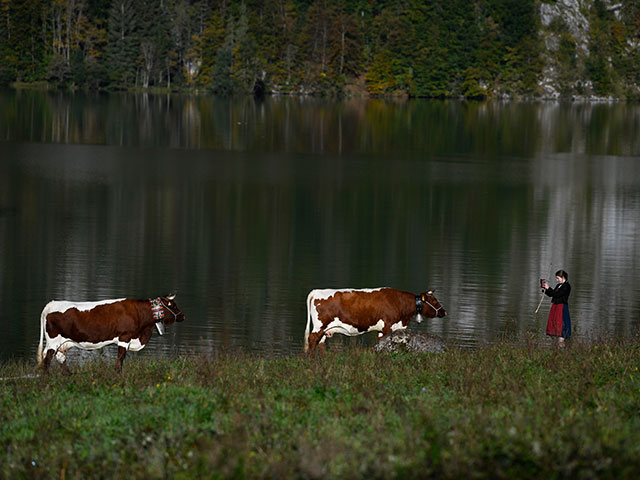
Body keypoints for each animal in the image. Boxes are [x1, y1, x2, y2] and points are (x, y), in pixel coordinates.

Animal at [37, 294, 184, 374]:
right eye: (173, 305)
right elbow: (120, 358)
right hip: (53, 341)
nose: (182, 316)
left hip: (63, 343)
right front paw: (119, 375)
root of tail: (52, 304)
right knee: (47, 358)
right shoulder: (125, 337)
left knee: (60, 358)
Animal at [304, 284, 444, 356]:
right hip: (319, 326)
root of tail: (316, 291)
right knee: (312, 340)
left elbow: (381, 342)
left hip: (326, 328)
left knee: (320, 342)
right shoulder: (388, 326)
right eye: (434, 301)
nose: (444, 311)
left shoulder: (383, 329)